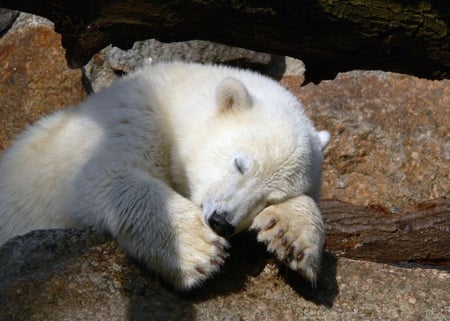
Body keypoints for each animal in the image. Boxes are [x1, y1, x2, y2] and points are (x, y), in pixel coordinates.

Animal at [0, 61, 330, 288]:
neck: (172, 100)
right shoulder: (127, 124)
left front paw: (291, 238)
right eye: (239, 164)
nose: (221, 221)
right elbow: (103, 178)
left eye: (271, 197)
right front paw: (198, 249)